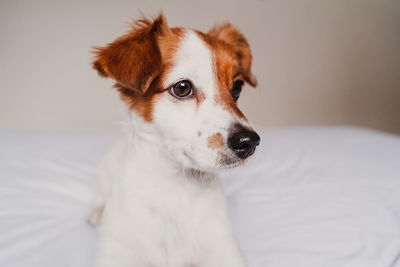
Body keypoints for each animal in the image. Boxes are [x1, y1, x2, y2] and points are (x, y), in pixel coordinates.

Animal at [88, 13, 260, 267]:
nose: (249, 142)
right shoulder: (116, 252)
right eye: (182, 88)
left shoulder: (225, 249)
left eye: (237, 87)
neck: (175, 186)